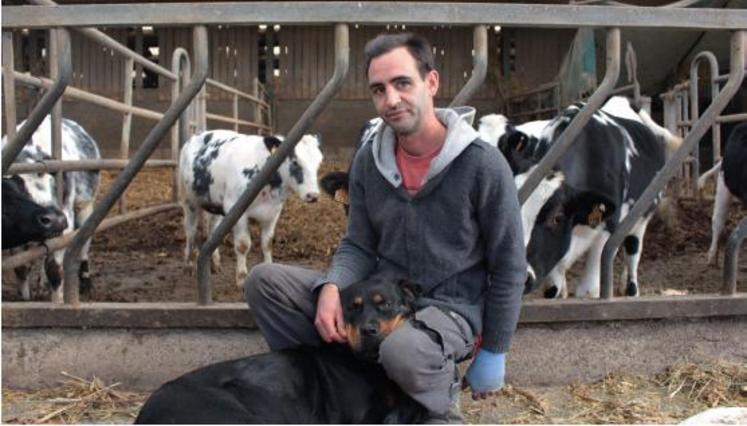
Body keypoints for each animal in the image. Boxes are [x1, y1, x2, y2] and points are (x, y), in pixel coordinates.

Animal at [1, 115, 101, 302]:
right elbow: (21, 267)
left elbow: (54, 269)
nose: (55, 219)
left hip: (85, 204)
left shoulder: (66, 224)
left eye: (54, 185)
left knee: (84, 243)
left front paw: (58, 301)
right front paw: (25, 298)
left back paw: (86, 282)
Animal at [181, 129, 324, 286]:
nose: (313, 195)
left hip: (216, 205)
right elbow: (243, 245)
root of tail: (198, 134)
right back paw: (189, 264)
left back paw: (215, 264)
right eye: (295, 162)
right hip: (189, 201)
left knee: (212, 231)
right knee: (190, 232)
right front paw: (242, 279)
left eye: (319, 163)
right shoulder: (236, 211)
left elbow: (267, 243)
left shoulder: (273, 213)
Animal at [486, 96, 684, 298]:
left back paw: (631, 289)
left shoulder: (606, 227)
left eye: (557, 218)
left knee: (633, 249)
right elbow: (552, 288)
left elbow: (588, 290)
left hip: (643, 215)